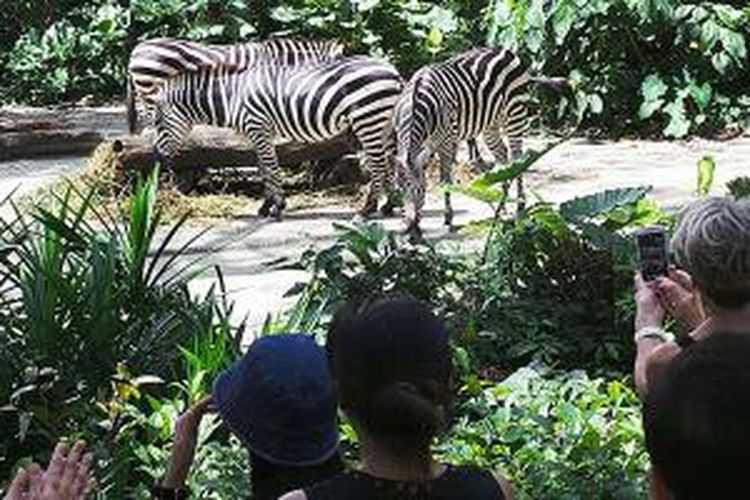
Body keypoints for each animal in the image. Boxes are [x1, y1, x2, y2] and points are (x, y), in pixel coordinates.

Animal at [154, 55, 406, 218]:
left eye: (157, 123)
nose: (159, 157)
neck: (231, 96)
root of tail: (393, 71)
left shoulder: (258, 127)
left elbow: (270, 168)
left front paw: (277, 207)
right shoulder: (257, 133)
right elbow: (263, 169)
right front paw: (267, 206)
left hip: (368, 118)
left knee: (377, 164)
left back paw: (368, 209)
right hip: (380, 122)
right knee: (387, 162)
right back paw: (388, 206)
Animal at [390, 46, 536, 237]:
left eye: (420, 190)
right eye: (399, 190)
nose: (410, 232)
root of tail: (505, 50)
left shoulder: (446, 143)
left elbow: (445, 180)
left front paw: (448, 218)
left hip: (515, 115)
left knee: (517, 158)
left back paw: (520, 205)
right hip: (490, 125)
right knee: (503, 155)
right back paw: (502, 205)